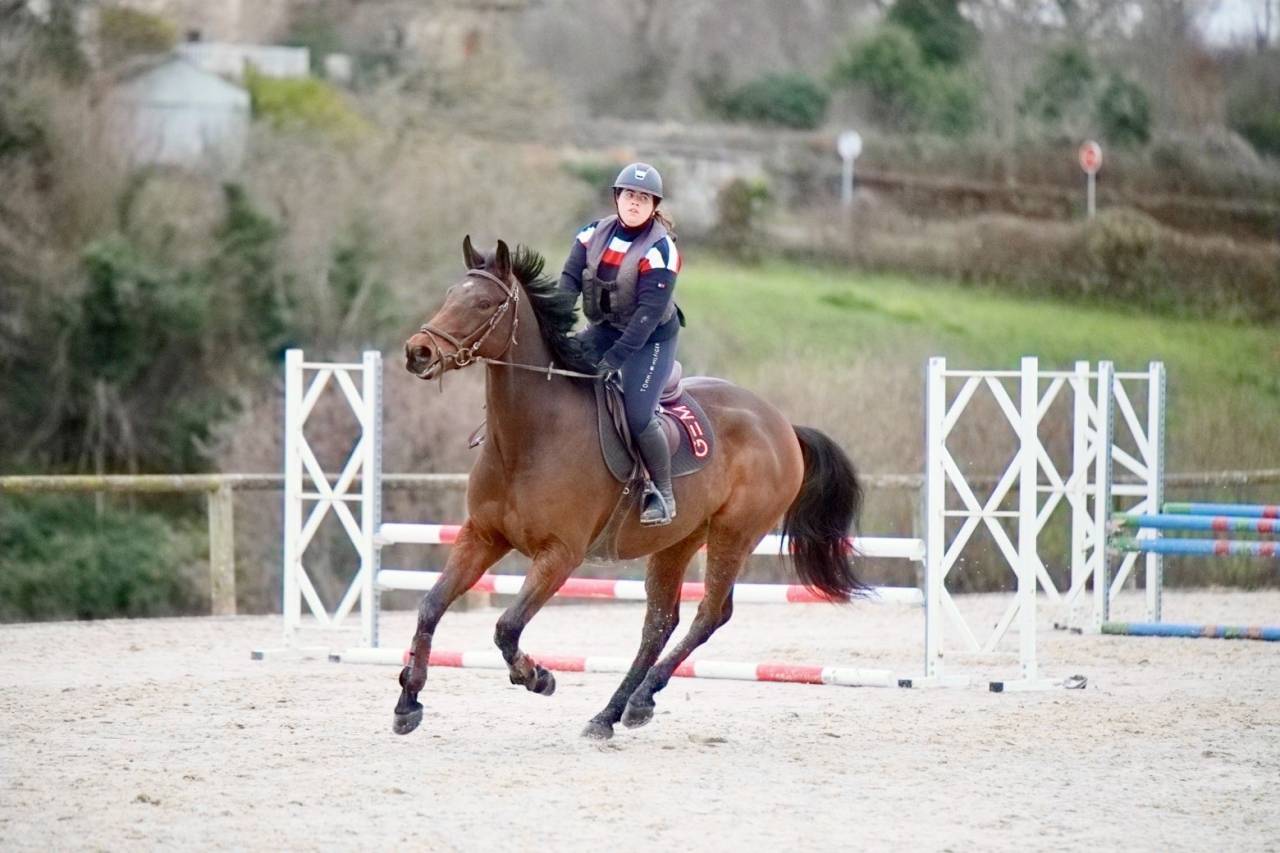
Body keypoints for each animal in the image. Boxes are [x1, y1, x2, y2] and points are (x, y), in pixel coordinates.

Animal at [395, 236, 867, 739]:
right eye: (450, 295)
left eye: (484, 304)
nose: (418, 352)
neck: (529, 436)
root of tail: (781, 425)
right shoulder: (482, 537)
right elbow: (430, 607)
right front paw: (408, 701)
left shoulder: (560, 554)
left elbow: (507, 625)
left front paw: (537, 676)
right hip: (678, 541)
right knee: (659, 623)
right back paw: (610, 713)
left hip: (733, 535)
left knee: (709, 615)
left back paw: (640, 699)